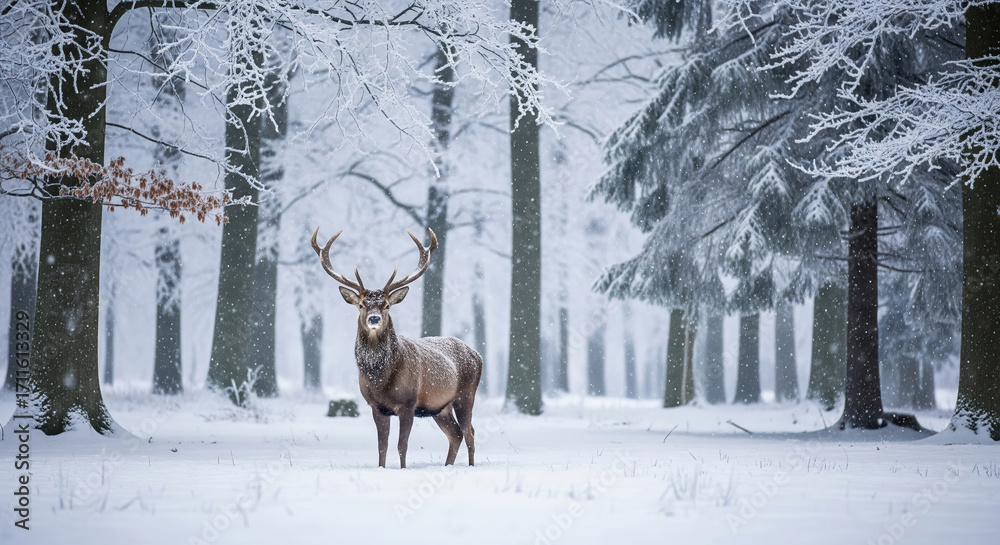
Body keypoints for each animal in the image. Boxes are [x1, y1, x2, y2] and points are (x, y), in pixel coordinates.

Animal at [311, 227, 482, 468]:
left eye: (386, 305)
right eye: (361, 305)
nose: (374, 318)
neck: (381, 379)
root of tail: (477, 354)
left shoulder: (408, 403)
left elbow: (402, 445)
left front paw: (402, 469)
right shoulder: (376, 406)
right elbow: (382, 446)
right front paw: (382, 468)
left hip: (466, 394)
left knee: (470, 432)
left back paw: (470, 466)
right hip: (440, 407)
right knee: (456, 434)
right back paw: (448, 466)